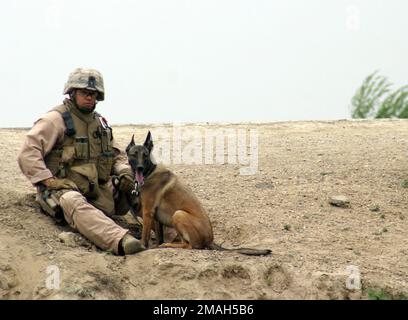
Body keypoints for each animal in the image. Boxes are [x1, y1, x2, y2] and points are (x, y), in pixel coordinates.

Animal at [124, 131, 270, 256]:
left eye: (145, 155)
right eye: (134, 154)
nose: (140, 168)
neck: (150, 172)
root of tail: (210, 240)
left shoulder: (147, 212)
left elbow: (145, 235)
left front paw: (143, 246)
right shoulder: (155, 217)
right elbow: (159, 236)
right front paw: (155, 245)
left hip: (178, 214)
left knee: (189, 245)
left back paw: (168, 244)